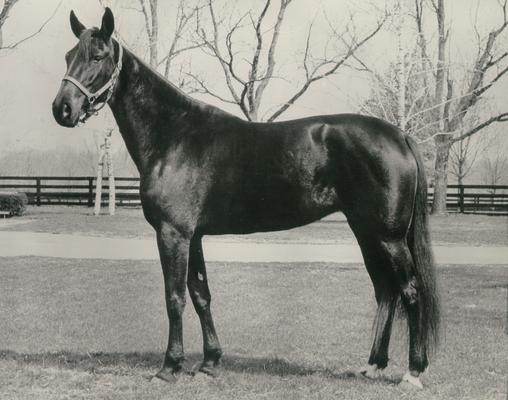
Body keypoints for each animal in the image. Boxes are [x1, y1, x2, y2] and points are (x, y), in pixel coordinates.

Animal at [53, 7, 438, 388]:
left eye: (98, 56)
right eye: (69, 56)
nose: (62, 109)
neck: (175, 135)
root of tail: (400, 135)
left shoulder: (173, 233)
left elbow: (174, 297)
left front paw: (170, 367)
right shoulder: (193, 235)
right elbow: (201, 295)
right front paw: (209, 362)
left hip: (389, 237)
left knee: (411, 290)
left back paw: (413, 372)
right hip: (366, 232)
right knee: (386, 291)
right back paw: (373, 365)